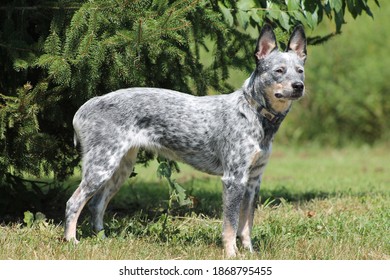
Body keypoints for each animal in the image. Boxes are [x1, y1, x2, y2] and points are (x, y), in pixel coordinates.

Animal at [64, 25, 308, 258]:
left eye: (300, 71)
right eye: (279, 71)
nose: (299, 86)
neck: (253, 113)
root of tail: (86, 106)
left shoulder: (253, 181)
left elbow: (246, 225)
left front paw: (249, 252)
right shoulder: (234, 179)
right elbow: (230, 225)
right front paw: (231, 254)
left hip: (120, 169)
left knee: (96, 205)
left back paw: (103, 240)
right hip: (101, 168)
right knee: (73, 203)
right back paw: (71, 241)